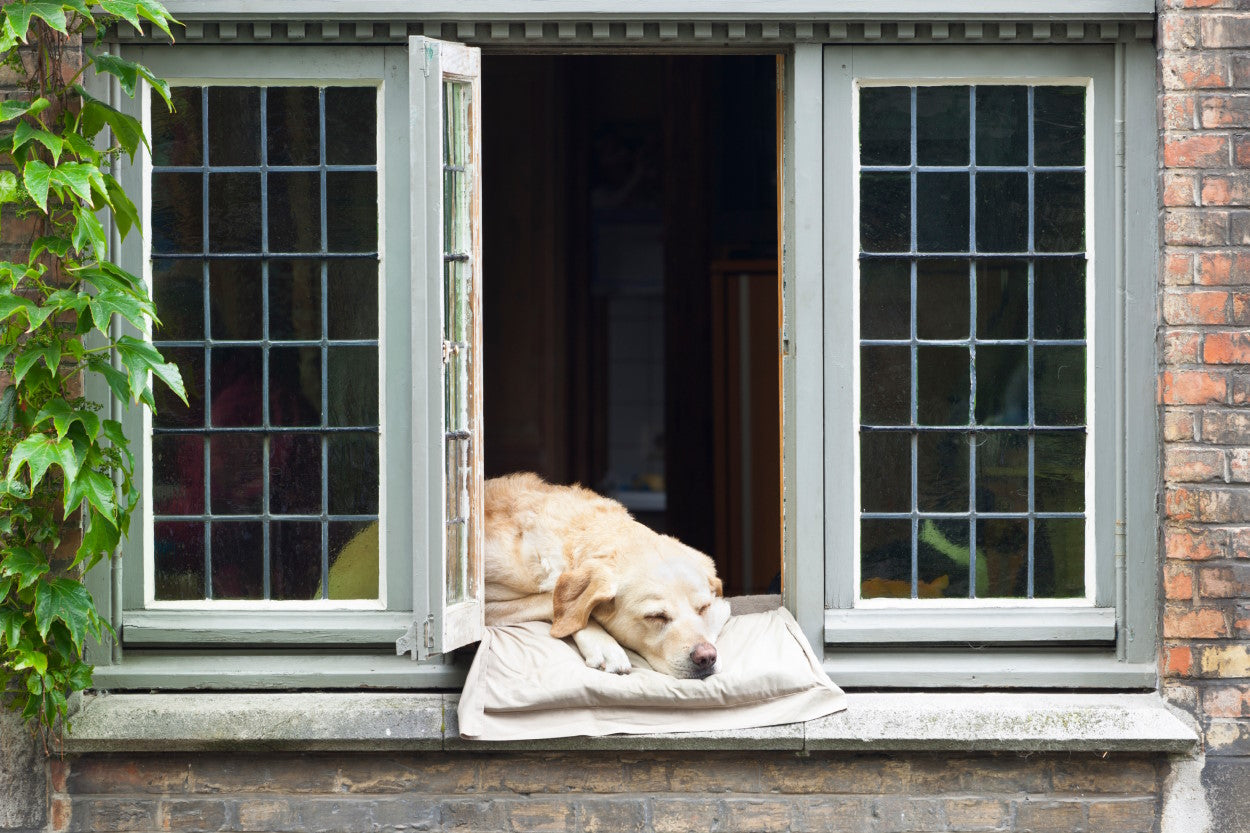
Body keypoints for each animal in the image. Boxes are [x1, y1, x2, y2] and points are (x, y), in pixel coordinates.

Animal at [480, 470, 730, 680]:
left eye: (703, 608)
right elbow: (551, 601)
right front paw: (604, 646)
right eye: (656, 616)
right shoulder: (486, 606)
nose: (707, 657)